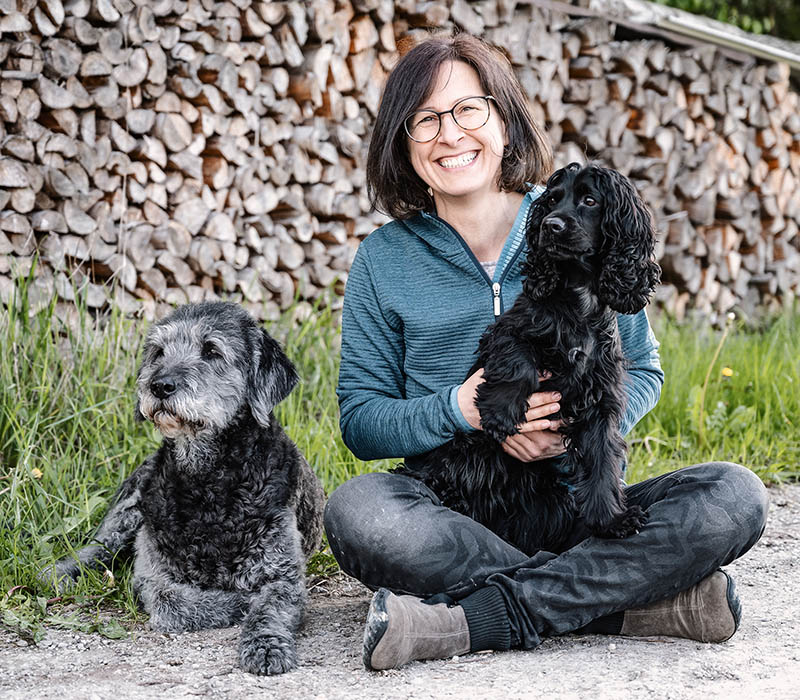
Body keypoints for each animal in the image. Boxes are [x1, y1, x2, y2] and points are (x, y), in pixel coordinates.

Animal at [41, 304, 324, 676]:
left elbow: (270, 609)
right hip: (128, 513)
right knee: (90, 552)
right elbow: (172, 601)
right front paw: (236, 602)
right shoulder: (152, 574)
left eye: (212, 351)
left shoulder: (282, 574)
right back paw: (63, 572)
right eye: (159, 352)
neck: (209, 483)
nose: (159, 385)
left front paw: (265, 644)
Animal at [396, 161, 660, 556]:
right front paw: (500, 413)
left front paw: (612, 521)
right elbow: (518, 363)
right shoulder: (509, 331)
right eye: (552, 200)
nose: (551, 225)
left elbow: (602, 464)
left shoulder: (599, 399)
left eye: (590, 200)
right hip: (469, 457)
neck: (578, 298)